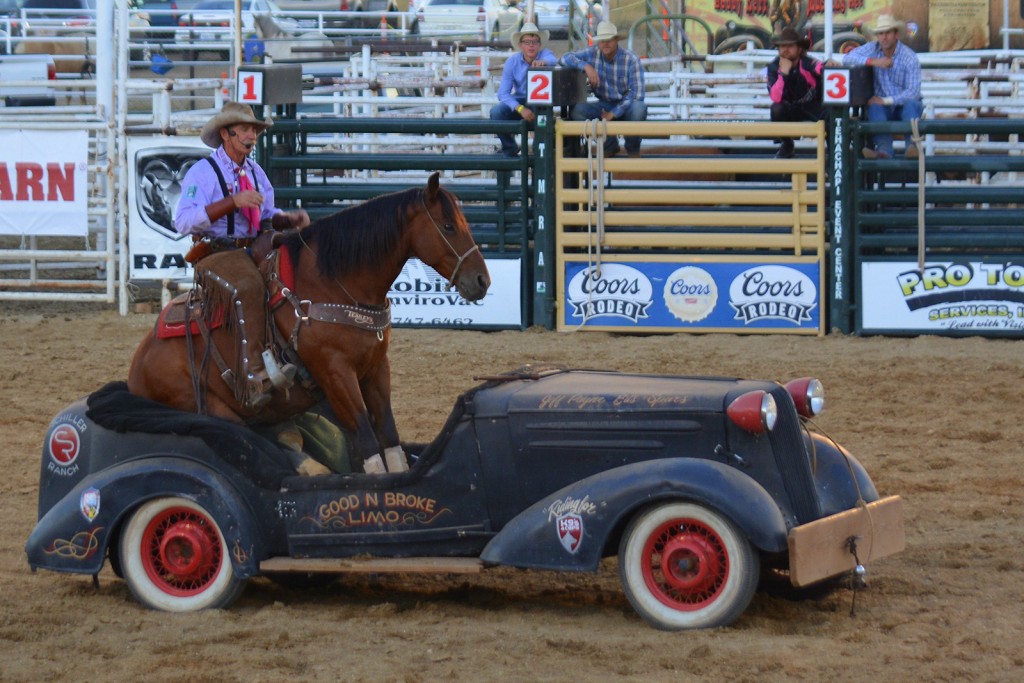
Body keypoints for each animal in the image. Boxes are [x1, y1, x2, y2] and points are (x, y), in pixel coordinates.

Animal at [125, 174, 493, 473]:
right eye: (448, 226)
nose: (482, 280)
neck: (334, 283)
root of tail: (137, 367)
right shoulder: (335, 372)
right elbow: (367, 440)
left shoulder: (376, 367)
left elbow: (389, 437)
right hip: (213, 408)